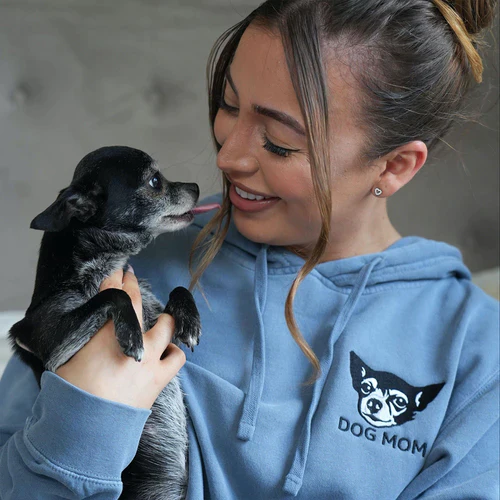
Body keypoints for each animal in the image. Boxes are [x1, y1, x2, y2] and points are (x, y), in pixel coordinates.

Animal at [8, 146, 217, 498]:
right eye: (155, 181)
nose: (197, 186)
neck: (103, 262)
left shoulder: (157, 319)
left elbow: (178, 289)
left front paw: (190, 320)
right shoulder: (48, 342)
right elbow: (114, 294)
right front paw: (131, 332)